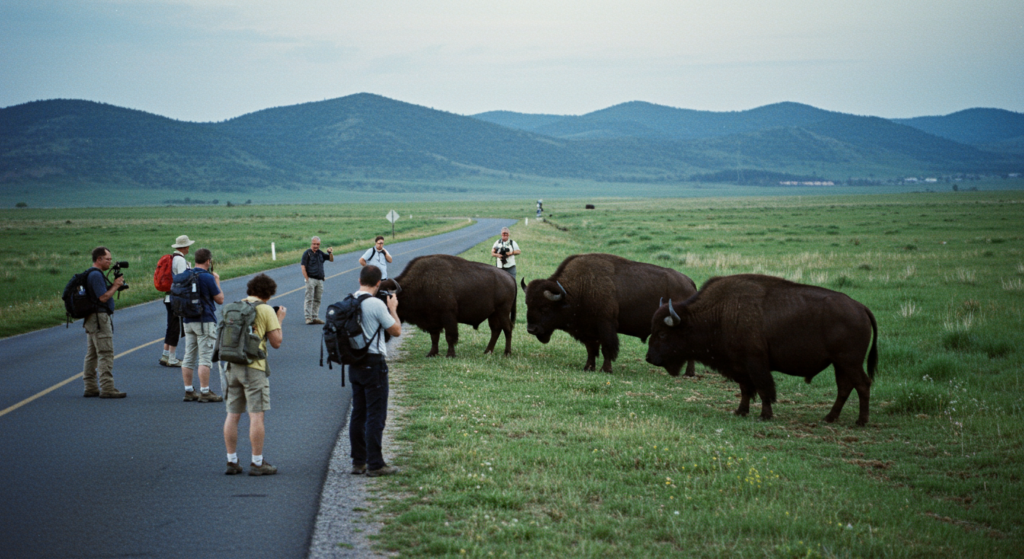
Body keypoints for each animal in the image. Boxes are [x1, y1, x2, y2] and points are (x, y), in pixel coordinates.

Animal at [380, 253, 516, 356]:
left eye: (386, 305)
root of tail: (510, 277)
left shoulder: (448, 317)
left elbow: (449, 336)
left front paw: (450, 355)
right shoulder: (432, 321)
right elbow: (434, 338)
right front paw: (432, 353)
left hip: (503, 311)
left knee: (507, 329)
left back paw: (507, 353)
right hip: (493, 314)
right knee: (496, 330)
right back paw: (487, 351)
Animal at [524, 251, 700, 374]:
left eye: (545, 307)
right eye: (527, 304)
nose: (531, 329)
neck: (578, 289)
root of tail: (690, 284)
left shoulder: (605, 325)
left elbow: (607, 349)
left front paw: (606, 370)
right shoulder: (589, 331)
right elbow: (591, 350)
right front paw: (588, 368)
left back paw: (689, 373)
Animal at [647, 272, 880, 423]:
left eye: (663, 333)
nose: (649, 358)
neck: (719, 313)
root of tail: (861, 307)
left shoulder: (755, 363)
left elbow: (763, 388)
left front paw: (765, 416)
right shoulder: (739, 366)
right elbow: (745, 389)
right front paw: (740, 411)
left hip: (849, 362)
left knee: (862, 384)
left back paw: (861, 421)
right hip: (840, 364)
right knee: (845, 387)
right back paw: (829, 417)